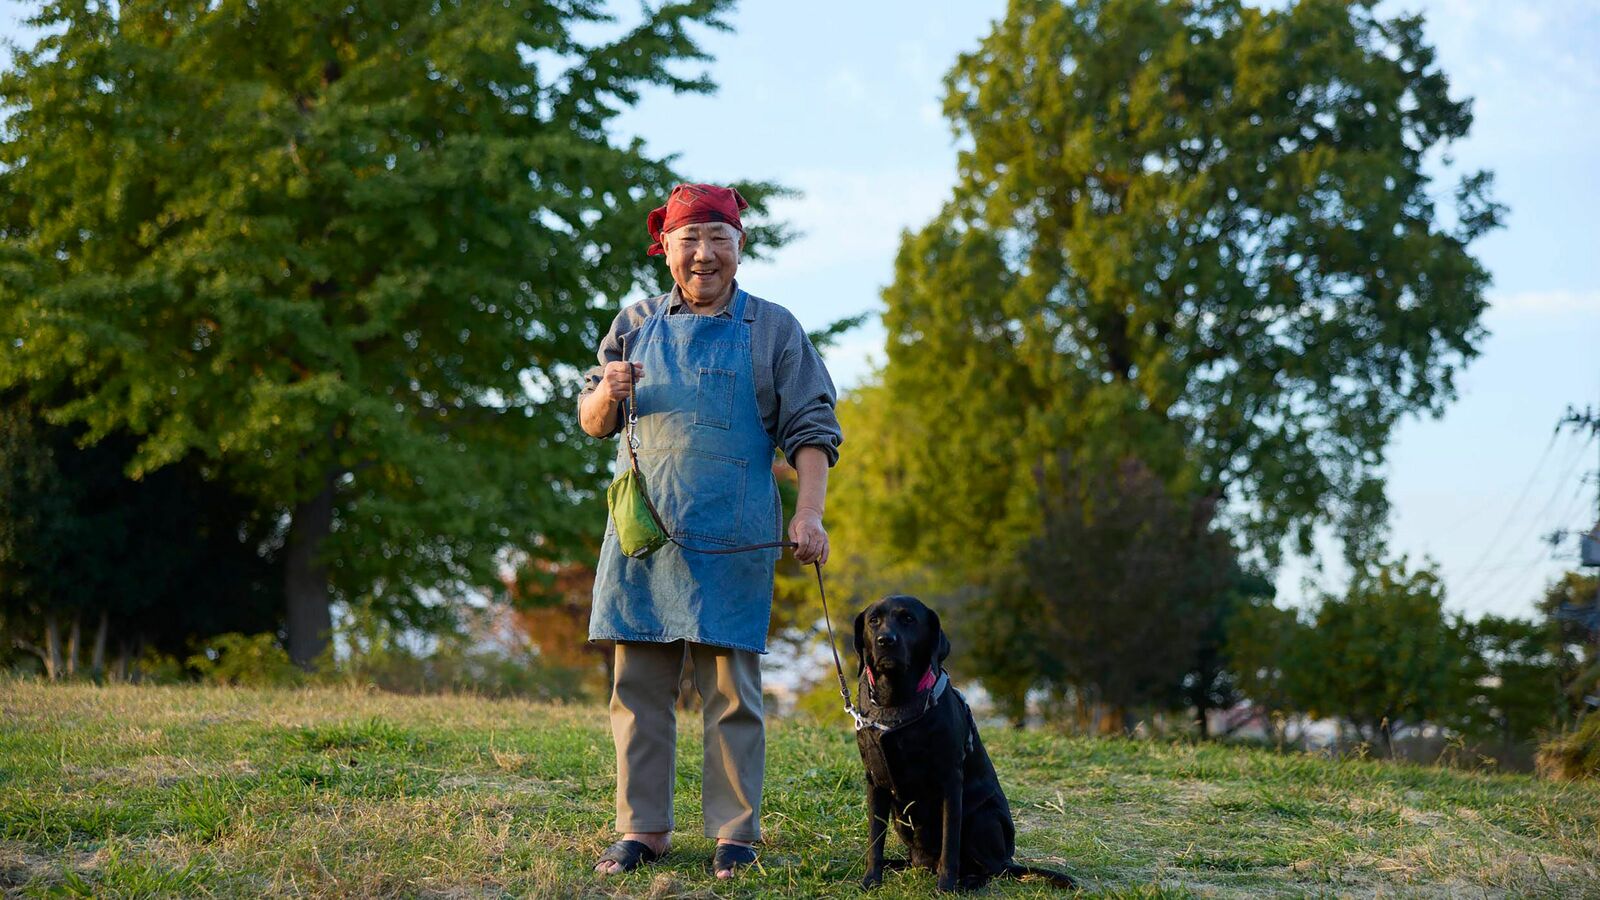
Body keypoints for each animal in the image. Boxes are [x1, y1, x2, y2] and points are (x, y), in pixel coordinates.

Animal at [851, 595, 1075, 890]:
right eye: (873, 620)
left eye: (908, 618)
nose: (885, 640)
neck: (896, 700)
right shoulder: (875, 780)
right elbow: (875, 839)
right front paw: (870, 880)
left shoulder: (950, 781)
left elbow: (950, 843)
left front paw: (946, 887)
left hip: (983, 819)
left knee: (993, 869)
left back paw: (968, 881)